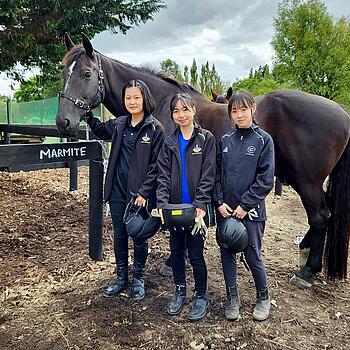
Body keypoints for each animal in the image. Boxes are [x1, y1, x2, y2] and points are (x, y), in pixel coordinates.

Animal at [56, 34, 348, 288]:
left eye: (87, 74)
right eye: (64, 74)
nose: (63, 122)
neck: (161, 104)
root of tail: (342, 112)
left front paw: (173, 261)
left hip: (306, 181)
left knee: (320, 217)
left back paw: (308, 271)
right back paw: (305, 251)